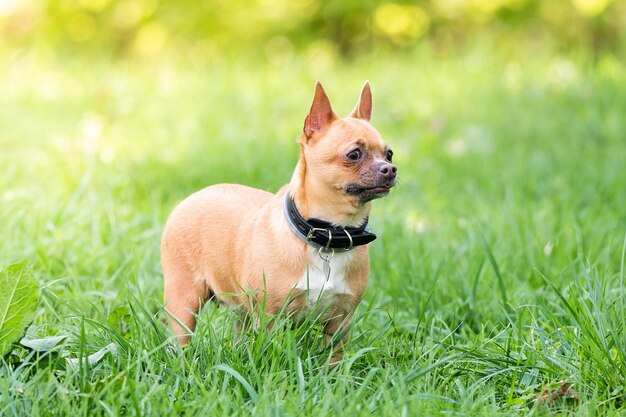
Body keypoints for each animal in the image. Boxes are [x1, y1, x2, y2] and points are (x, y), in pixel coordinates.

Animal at [161, 81, 394, 360]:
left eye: (389, 154)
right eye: (354, 154)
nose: (390, 169)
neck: (328, 233)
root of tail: (192, 197)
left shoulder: (340, 322)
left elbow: (333, 358)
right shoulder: (270, 318)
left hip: (240, 311)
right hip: (185, 300)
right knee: (180, 337)